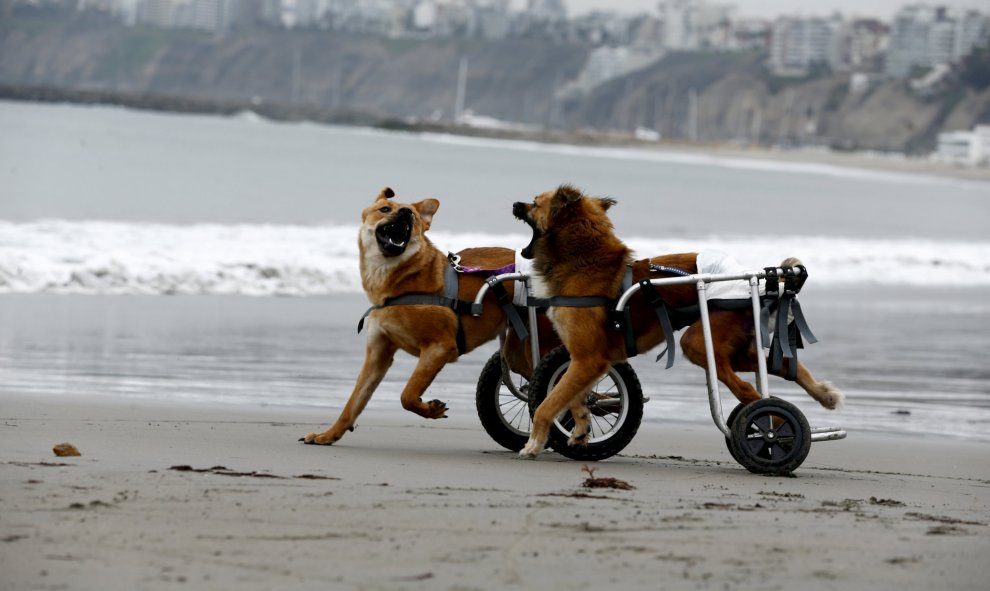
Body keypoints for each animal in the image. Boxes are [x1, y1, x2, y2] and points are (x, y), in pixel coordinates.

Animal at [302, 188, 524, 444]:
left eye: (414, 215)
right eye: (385, 208)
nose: (406, 212)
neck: (398, 282)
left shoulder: (439, 347)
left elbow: (407, 395)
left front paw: (430, 410)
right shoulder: (378, 354)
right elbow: (353, 402)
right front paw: (329, 434)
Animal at [512, 185, 844, 458]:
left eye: (535, 202)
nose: (514, 203)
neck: (583, 262)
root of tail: (756, 282)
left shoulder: (589, 359)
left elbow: (549, 403)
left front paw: (535, 443)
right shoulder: (587, 361)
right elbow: (574, 397)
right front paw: (581, 429)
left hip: (697, 342)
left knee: (750, 391)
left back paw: (772, 430)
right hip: (730, 349)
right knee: (781, 365)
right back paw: (824, 395)